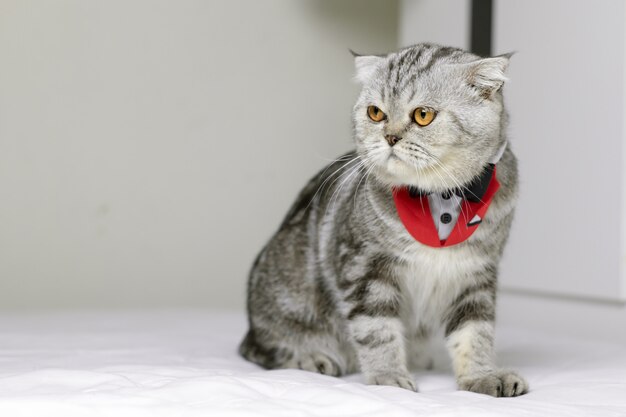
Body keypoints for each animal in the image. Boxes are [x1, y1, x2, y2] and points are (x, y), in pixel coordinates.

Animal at [239, 43, 528, 396]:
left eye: (423, 115)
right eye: (375, 113)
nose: (390, 137)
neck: (440, 198)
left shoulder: (476, 275)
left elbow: (475, 334)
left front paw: (482, 376)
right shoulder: (364, 267)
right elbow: (376, 330)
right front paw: (388, 377)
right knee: (263, 349)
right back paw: (312, 357)